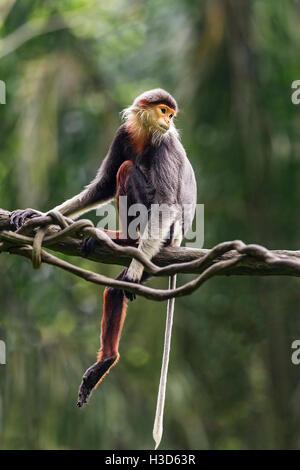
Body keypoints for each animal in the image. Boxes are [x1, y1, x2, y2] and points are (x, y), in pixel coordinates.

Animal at [9, 89, 197, 448]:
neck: (146, 135)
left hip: (163, 237)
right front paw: (36, 215)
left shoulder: (164, 145)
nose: (168, 122)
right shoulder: (124, 134)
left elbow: (164, 201)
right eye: (163, 111)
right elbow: (103, 185)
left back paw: (129, 246)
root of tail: (178, 241)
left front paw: (135, 269)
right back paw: (106, 359)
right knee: (114, 289)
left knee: (128, 172)